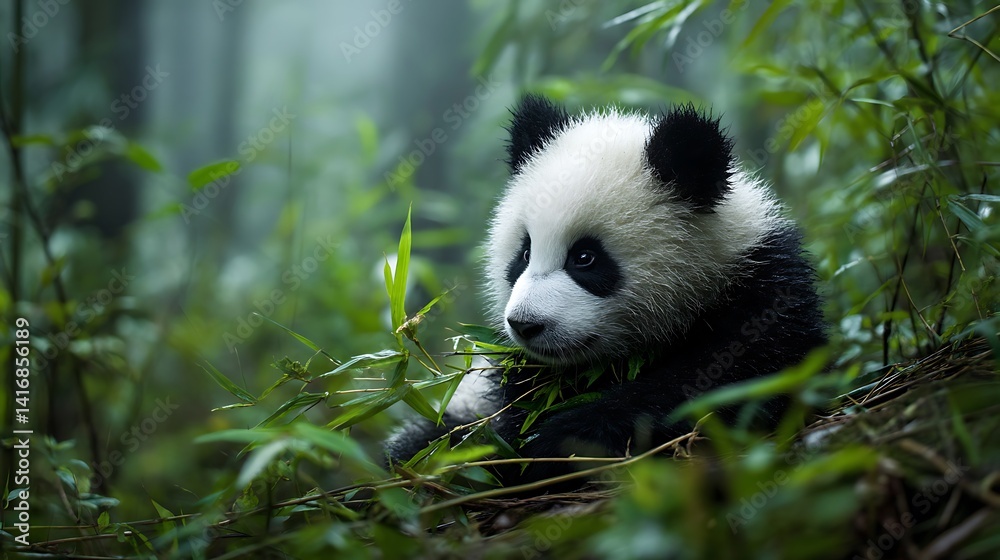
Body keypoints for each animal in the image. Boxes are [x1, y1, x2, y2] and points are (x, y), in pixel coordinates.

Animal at [387, 94, 827, 486]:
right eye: (524, 253)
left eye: (585, 258)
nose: (525, 325)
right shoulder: (516, 377)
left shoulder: (761, 293)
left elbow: (732, 380)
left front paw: (563, 438)